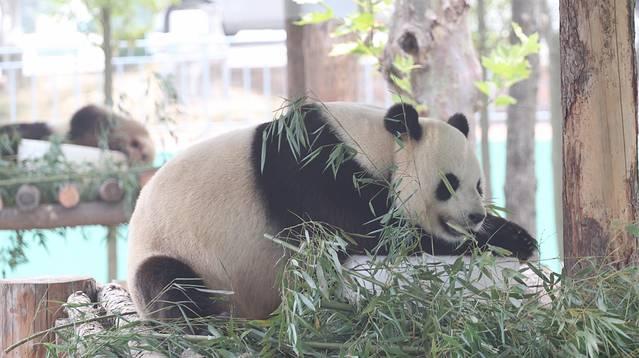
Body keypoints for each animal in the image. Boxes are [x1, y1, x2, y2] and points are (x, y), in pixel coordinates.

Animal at [127, 100, 536, 322]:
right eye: (448, 184)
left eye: (479, 185)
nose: (475, 216)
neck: (375, 142)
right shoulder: (311, 169)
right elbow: (370, 231)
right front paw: (506, 239)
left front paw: (516, 234)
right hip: (178, 254)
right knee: (168, 285)